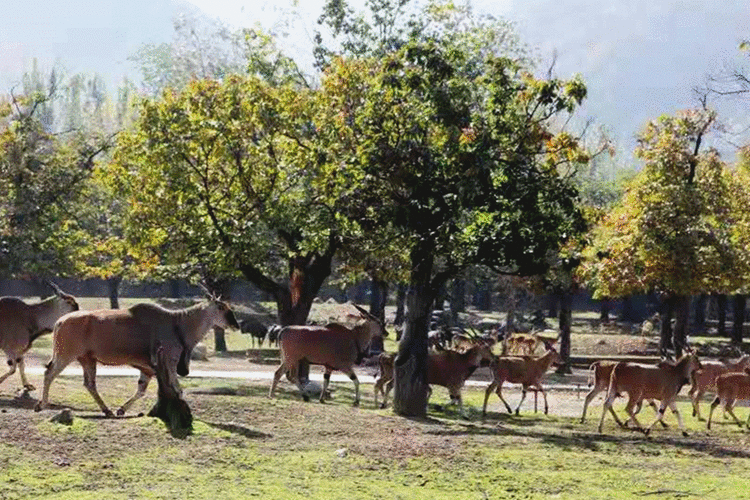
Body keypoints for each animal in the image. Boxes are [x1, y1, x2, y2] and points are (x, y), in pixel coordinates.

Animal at [34, 296, 238, 418]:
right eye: (221, 307)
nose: (236, 324)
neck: (177, 323)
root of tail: (60, 321)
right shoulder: (170, 364)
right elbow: (179, 389)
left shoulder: (147, 370)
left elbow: (141, 390)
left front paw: (121, 409)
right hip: (66, 356)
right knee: (49, 374)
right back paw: (42, 405)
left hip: (87, 360)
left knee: (89, 384)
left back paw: (107, 410)